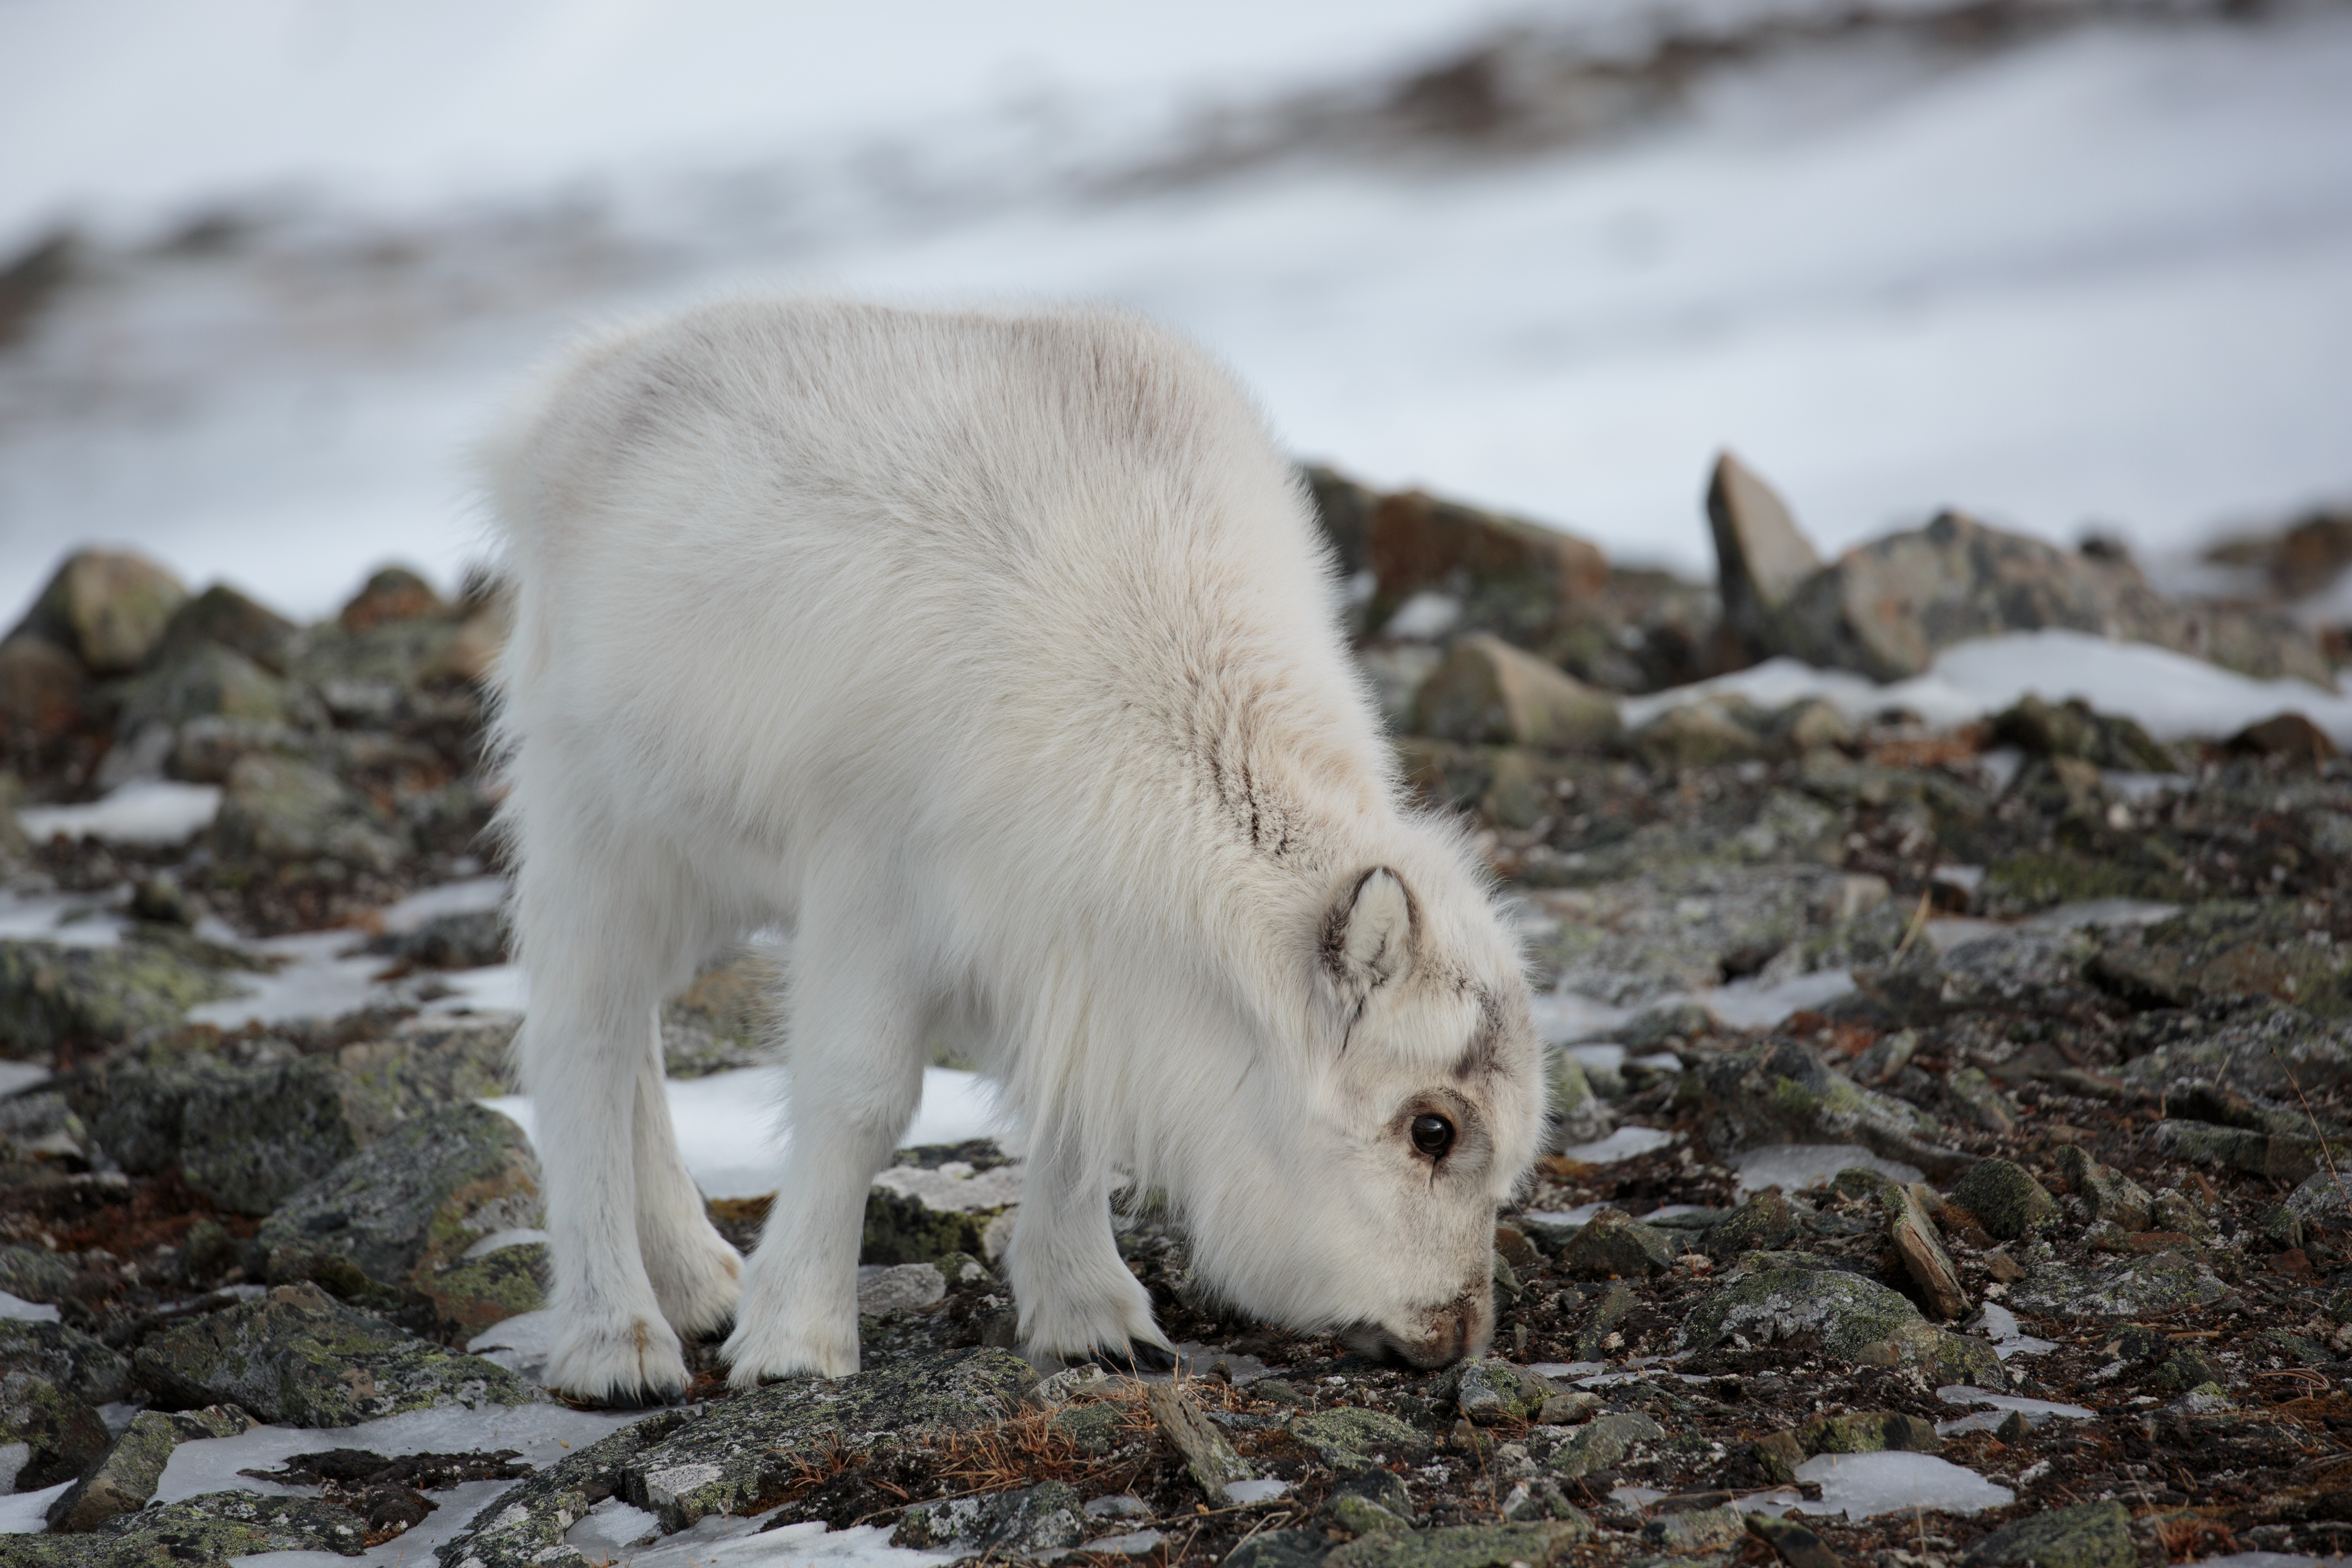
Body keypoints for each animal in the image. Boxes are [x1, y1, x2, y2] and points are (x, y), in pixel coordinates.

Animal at [482, 301, 1543, 1401]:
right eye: (1431, 1128)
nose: (1455, 1337)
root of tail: (560, 404)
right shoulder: (873, 885)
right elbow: (857, 1099)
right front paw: (796, 1341)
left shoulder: (1071, 950)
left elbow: (1072, 1109)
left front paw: (1093, 1321)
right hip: (598, 826)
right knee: (583, 1039)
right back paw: (618, 1341)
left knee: (636, 1041)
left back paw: (700, 1281)